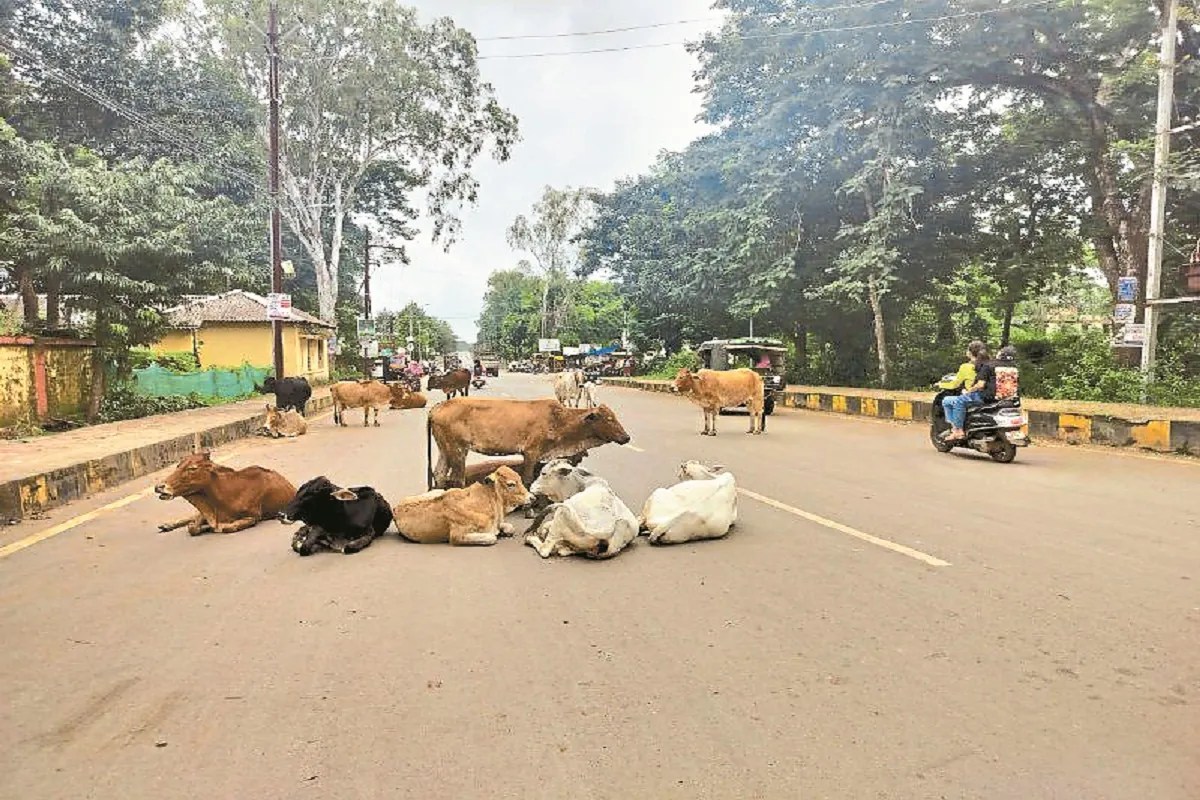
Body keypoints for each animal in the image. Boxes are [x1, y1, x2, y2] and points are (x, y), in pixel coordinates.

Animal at [155, 451, 295, 535]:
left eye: (192, 468)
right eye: (178, 466)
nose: (159, 487)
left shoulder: (253, 516)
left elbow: (227, 527)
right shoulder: (204, 513)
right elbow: (193, 527)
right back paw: (167, 525)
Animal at [392, 465, 532, 546]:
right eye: (511, 484)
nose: (532, 497)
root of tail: (396, 508)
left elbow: (509, 527)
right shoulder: (457, 536)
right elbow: (492, 537)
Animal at [427, 398, 631, 489]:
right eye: (609, 419)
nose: (627, 437)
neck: (559, 421)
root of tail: (438, 406)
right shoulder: (531, 452)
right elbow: (527, 480)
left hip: (444, 449)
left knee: (439, 473)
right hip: (457, 450)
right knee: (457, 478)